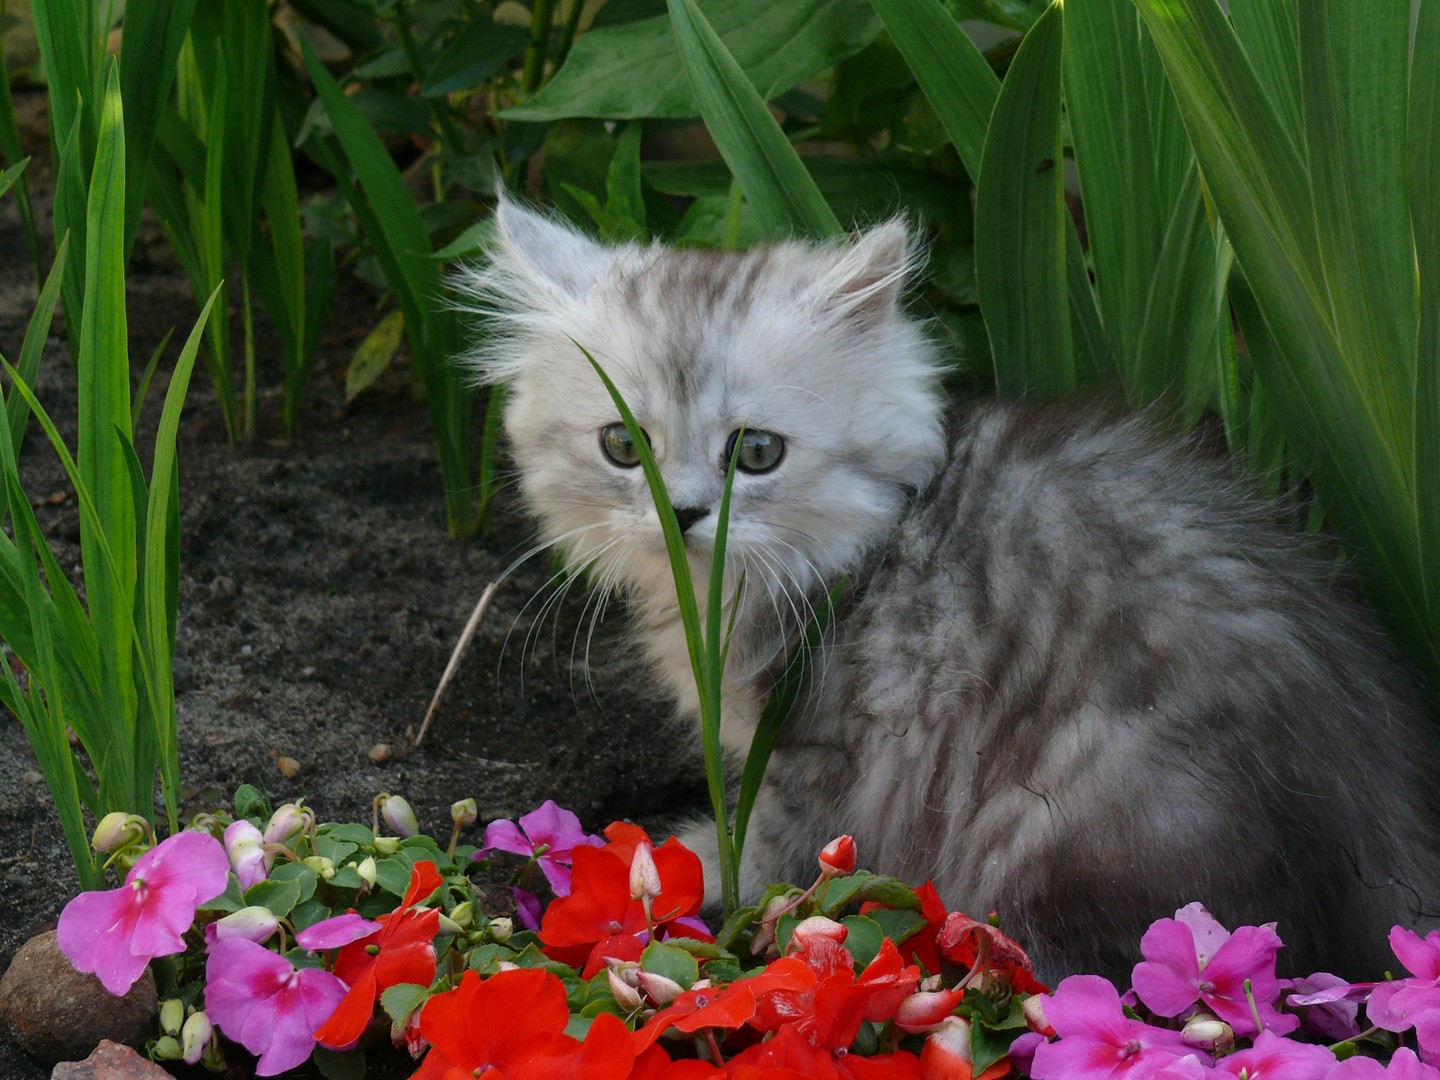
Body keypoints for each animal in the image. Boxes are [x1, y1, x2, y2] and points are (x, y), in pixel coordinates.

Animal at [463, 198, 1440, 984]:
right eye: (622, 447)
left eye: (757, 453)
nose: (688, 514)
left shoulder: (815, 748)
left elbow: (765, 856)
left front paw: (696, 880)